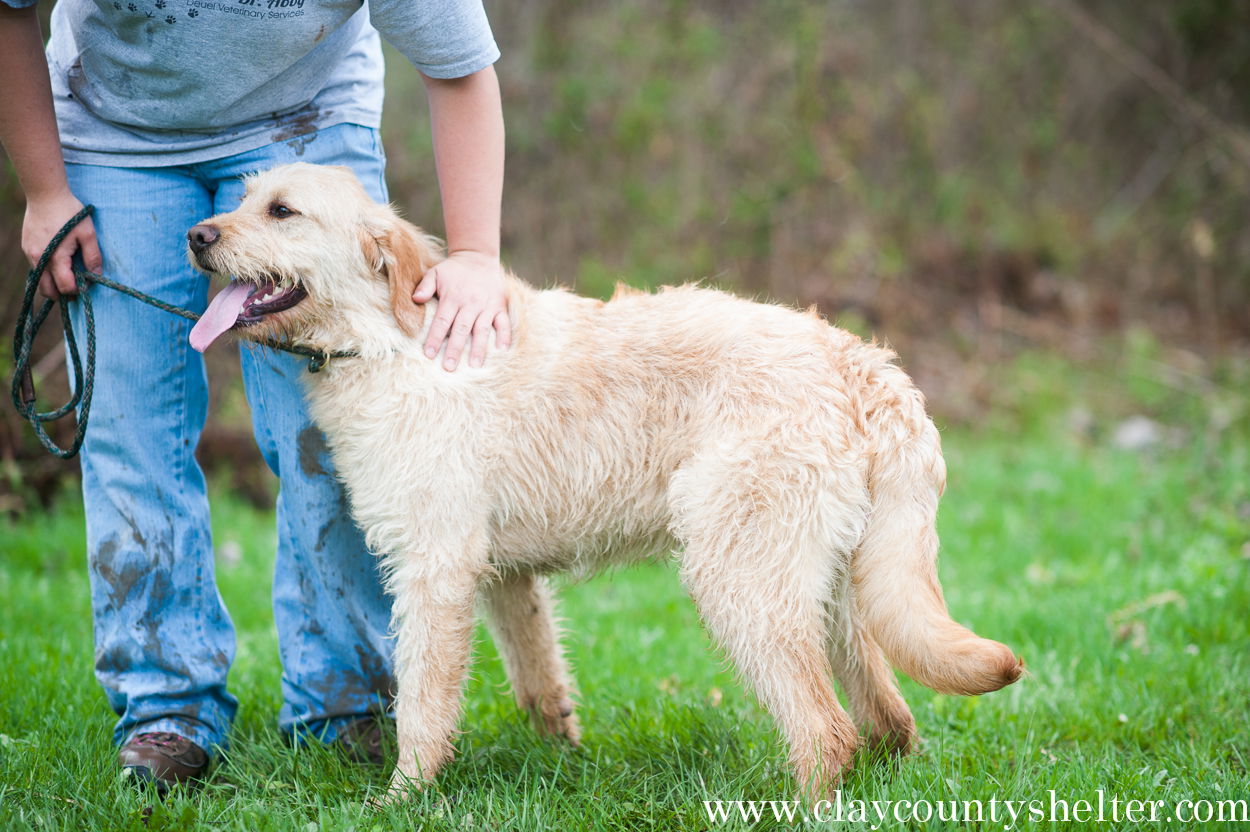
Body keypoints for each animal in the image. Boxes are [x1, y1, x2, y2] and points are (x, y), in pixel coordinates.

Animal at [187, 159, 1025, 799]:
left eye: (283, 210)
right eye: (241, 198)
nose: (196, 235)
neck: (386, 340)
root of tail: (857, 360)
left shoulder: (433, 572)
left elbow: (421, 705)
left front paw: (403, 799)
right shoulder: (502, 576)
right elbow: (538, 680)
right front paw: (562, 757)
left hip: (740, 580)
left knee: (827, 729)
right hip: (837, 586)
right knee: (888, 719)